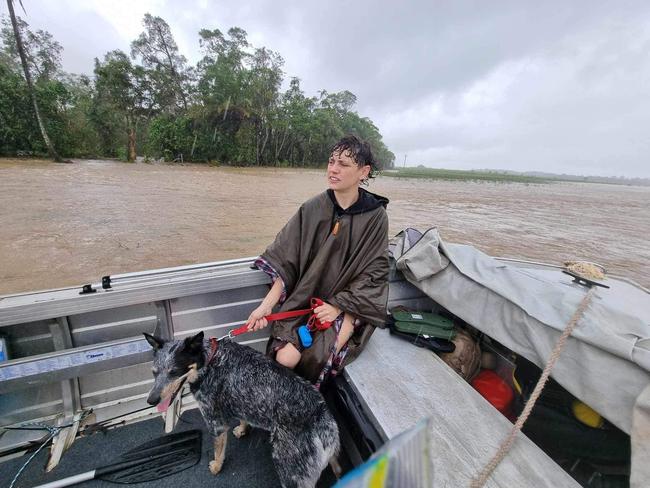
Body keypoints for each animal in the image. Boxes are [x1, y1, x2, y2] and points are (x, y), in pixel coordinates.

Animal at [142, 332, 340, 488]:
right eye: (154, 372)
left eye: (174, 371)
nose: (151, 400)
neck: (210, 359)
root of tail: (322, 417)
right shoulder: (241, 402)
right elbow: (244, 417)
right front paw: (243, 429)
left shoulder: (215, 423)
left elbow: (218, 451)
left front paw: (216, 467)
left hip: (290, 473)